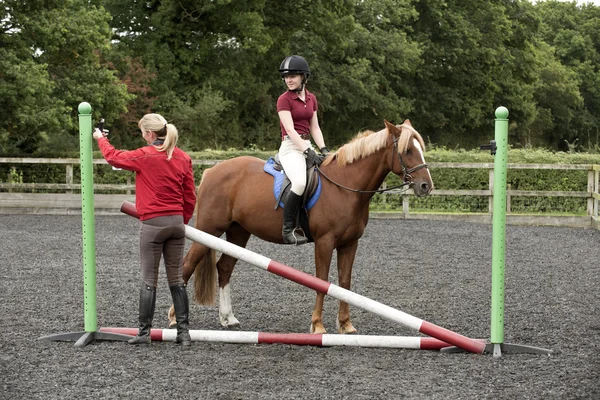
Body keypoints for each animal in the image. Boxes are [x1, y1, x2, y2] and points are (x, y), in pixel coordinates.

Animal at [168, 119, 432, 334]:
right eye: (407, 150)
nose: (425, 186)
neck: (344, 186)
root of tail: (212, 170)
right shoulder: (325, 242)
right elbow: (322, 281)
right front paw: (318, 325)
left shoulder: (349, 243)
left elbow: (344, 282)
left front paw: (346, 325)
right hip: (209, 229)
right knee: (187, 265)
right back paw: (173, 318)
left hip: (238, 232)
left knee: (224, 268)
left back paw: (228, 318)